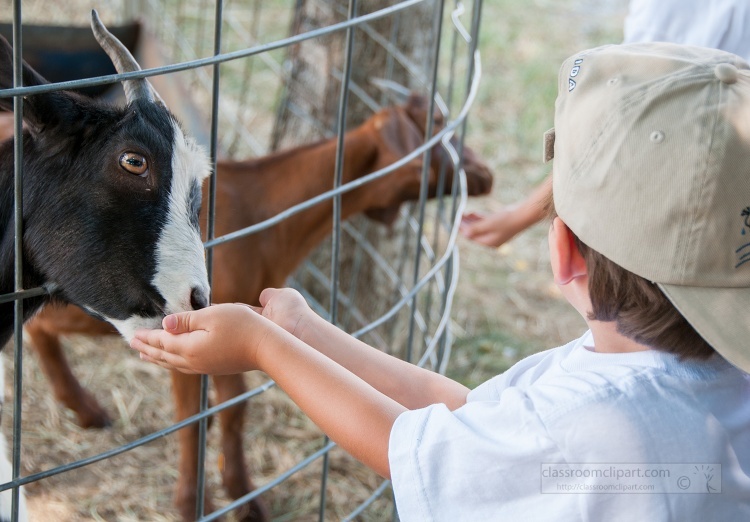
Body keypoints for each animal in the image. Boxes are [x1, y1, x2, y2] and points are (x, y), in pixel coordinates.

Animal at [16, 94, 494, 520]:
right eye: (437, 124)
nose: (487, 174)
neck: (261, 216)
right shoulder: (178, 324)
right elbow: (194, 418)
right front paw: (193, 504)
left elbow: (233, 408)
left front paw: (243, 496)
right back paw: (84, 406)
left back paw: (83, 408)